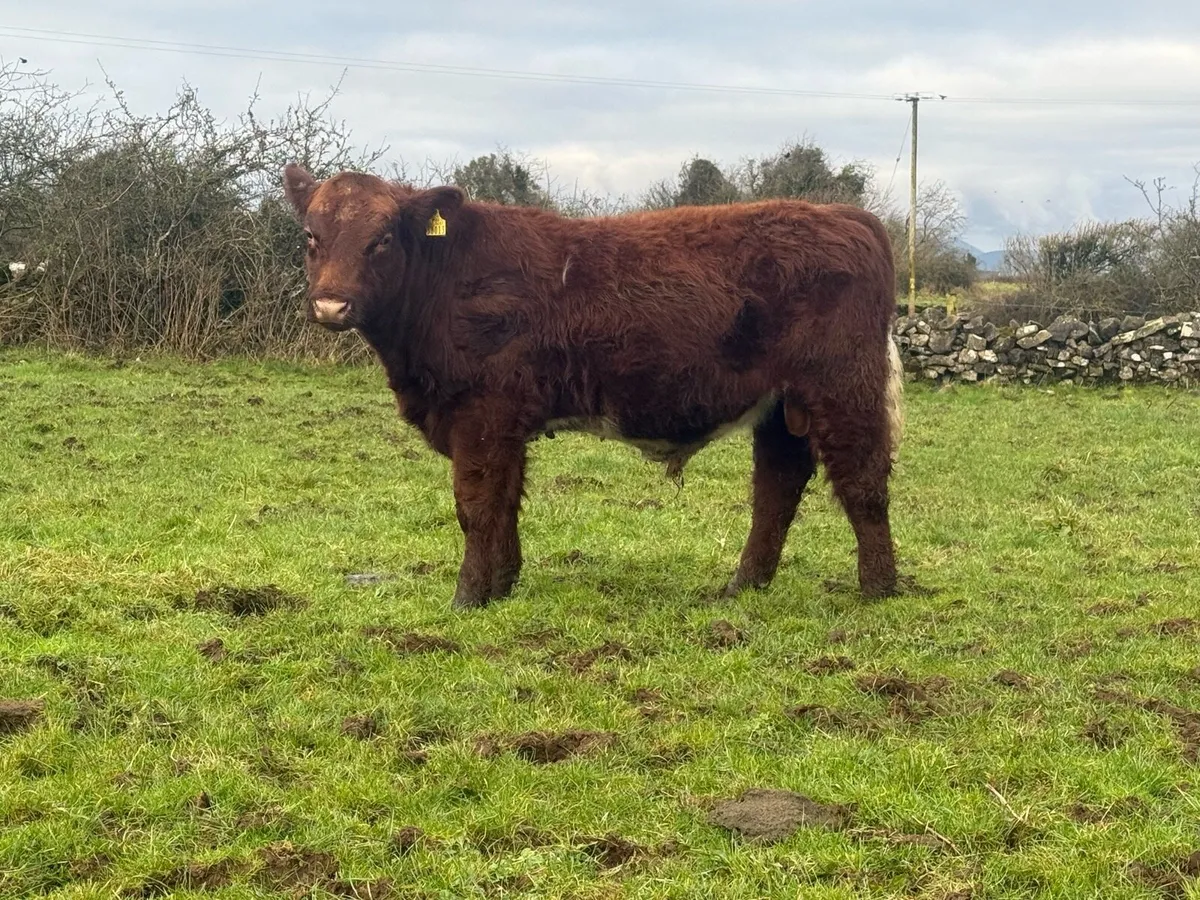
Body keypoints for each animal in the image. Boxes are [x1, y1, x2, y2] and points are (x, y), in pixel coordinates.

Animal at [281, 163, 904, 611]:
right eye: (312, 236)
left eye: (382, 239)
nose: (331, 305)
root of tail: (848, 216)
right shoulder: (507, 423)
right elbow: (506, 501)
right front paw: (502, 586)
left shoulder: (482, 414)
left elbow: (476, 506)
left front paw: (467, 598)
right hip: (781, 406)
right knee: (777, 489)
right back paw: (741, 588)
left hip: (842, 387)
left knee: (863, 481)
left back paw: (878, 591)